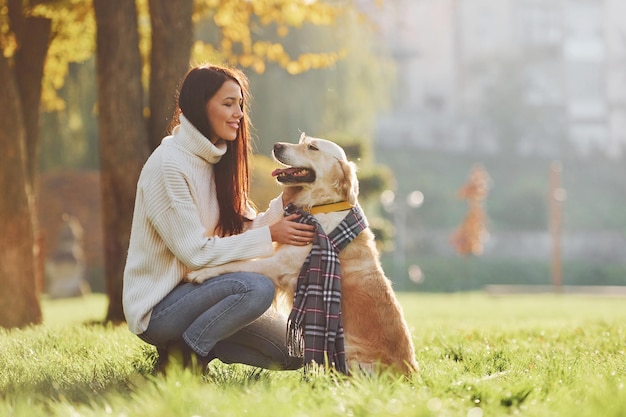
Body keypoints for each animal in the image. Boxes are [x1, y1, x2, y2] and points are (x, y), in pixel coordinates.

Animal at [188, 133, 416, 374]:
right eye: (302, 141)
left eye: (312, 147)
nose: (277, 145)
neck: (319, 206)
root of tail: (411, 375)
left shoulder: (280, 264)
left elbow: (237, 263)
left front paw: (201, 273)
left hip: (347, 350)